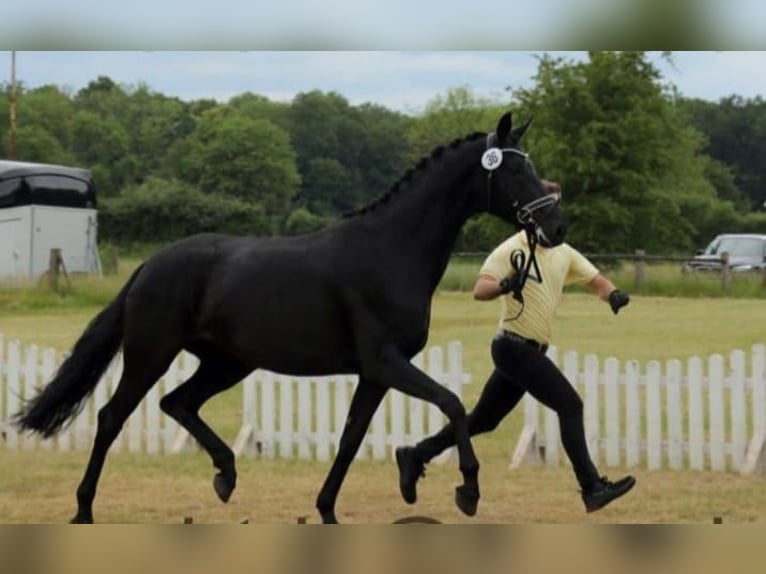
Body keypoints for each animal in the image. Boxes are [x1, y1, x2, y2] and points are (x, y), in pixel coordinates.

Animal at [10, 110, 564, 524]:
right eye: (515, 170)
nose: (556, 226)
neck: (390, 251)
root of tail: (150, 265)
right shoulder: (385, 363)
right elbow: (451, 402)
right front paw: (466, 489)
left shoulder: (374, 374)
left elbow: (350, 438)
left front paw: (332, 508)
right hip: (152, 353)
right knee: (112, 417)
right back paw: (84, 508)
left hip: (228, 364)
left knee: (177, 403)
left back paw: (226, 475)